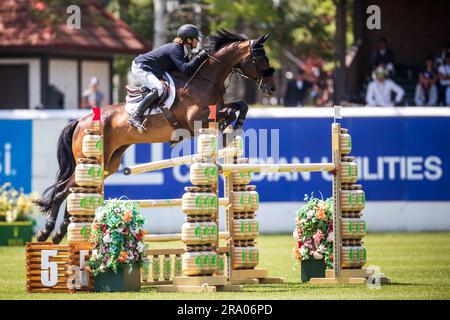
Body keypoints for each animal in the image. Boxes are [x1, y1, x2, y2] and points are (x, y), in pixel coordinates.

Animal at [35, 31, 276, 244]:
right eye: (261, 58)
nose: (271, 88)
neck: (206, 79)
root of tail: (80, 121)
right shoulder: (197, 119)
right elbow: (230, 111)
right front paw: (231, 125)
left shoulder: (215, 111)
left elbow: (240, 105)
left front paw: (232, 128)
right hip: (90, 160)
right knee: (63, 190)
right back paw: (46, 231)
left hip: (107, 164)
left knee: (76, 189)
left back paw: (60, 232)